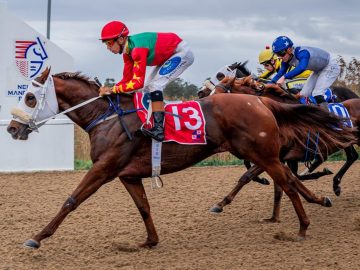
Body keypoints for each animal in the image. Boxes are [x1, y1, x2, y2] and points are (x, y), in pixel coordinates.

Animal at [7, 68, 356, 249]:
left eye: (30, 97)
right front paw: (150, 241)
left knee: (286, 181)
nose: (11, 128)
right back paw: (317, 202)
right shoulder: (127, 174)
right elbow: (144, 207)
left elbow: (71, 200)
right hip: (261, 153)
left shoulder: (104, 168)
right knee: (288, 179)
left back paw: (304, 225)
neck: (105, 117)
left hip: (262, 153)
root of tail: (262, 102)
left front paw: (37, 238)